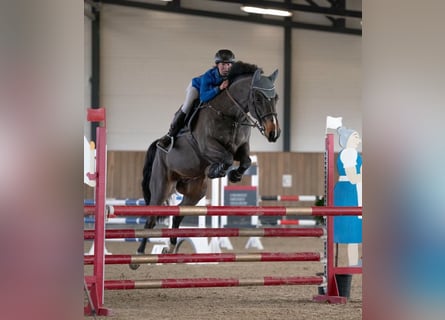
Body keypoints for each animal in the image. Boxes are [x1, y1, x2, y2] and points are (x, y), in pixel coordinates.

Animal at [128, 61, 280, 268]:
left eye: (276, 98)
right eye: (257, 97)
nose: (274, 133)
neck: (230, 114)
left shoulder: (242, 147)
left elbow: (246, 160)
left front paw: (233, 175)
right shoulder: (206, 146)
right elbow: (226, 158)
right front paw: (218, 170)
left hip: (195, 191)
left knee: (178, 214)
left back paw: (171, 248)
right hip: (162, 186)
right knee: (151, 218)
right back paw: (138, 256)